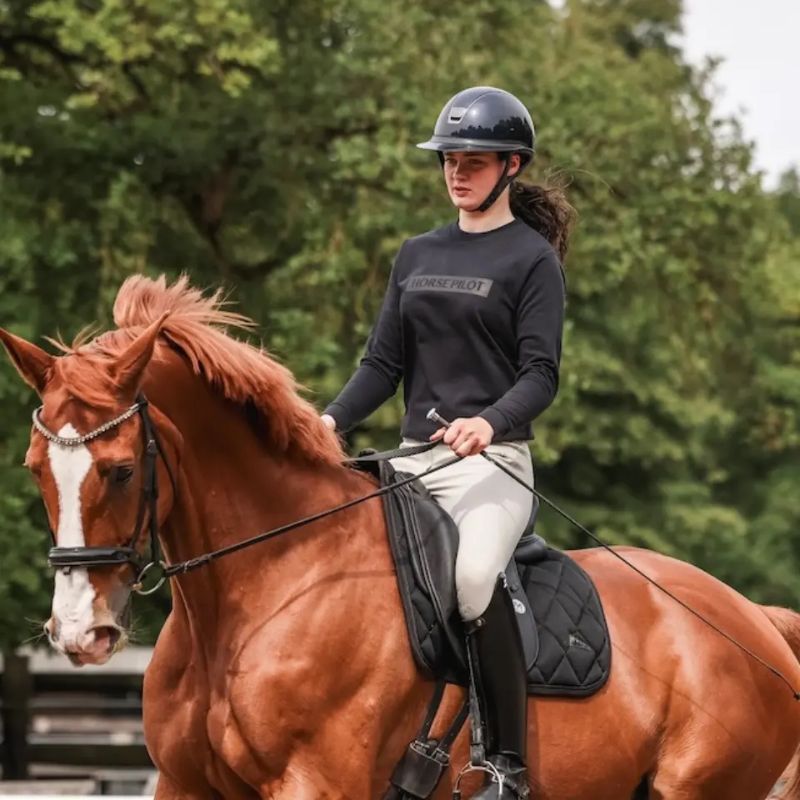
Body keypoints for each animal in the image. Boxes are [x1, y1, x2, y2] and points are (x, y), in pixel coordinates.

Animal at [1, 274, 799, 800]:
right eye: (36, 467)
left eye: (120, 470)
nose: (79, 633)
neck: (261, 589)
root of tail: (752, 619)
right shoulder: (183, 785)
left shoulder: (313, 785)